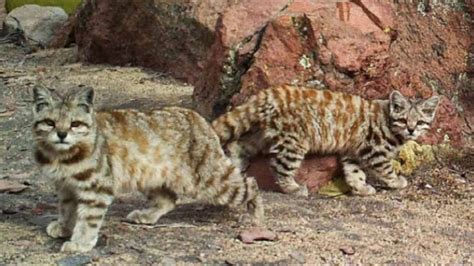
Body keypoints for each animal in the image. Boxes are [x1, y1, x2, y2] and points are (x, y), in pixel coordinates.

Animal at [32, 86, 264, 252]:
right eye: (50, 122)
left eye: (75, 124)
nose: (62, 134)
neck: (62, 156)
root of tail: (200, 119)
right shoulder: (66, 187)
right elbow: (67, 209)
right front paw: (64, 227)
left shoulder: (97, 188)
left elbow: (88, 218)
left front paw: (80, 242)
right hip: (149, 176)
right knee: (169, 200)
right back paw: (146, 216)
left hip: (210, 182)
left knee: (251, 183)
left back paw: (256, 217)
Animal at [213, 85, 438, 197]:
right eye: (403, 120)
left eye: (419, 122)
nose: (411, 130)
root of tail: (268, 94)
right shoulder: (374, 150)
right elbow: (386, 169)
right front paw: (396, 182)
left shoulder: (352, 152)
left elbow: (354, 173)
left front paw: (360, 188)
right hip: (293, 142)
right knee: (279, 168)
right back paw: (293, 188)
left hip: (261, 134)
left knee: (237, 144)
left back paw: (235, 165)